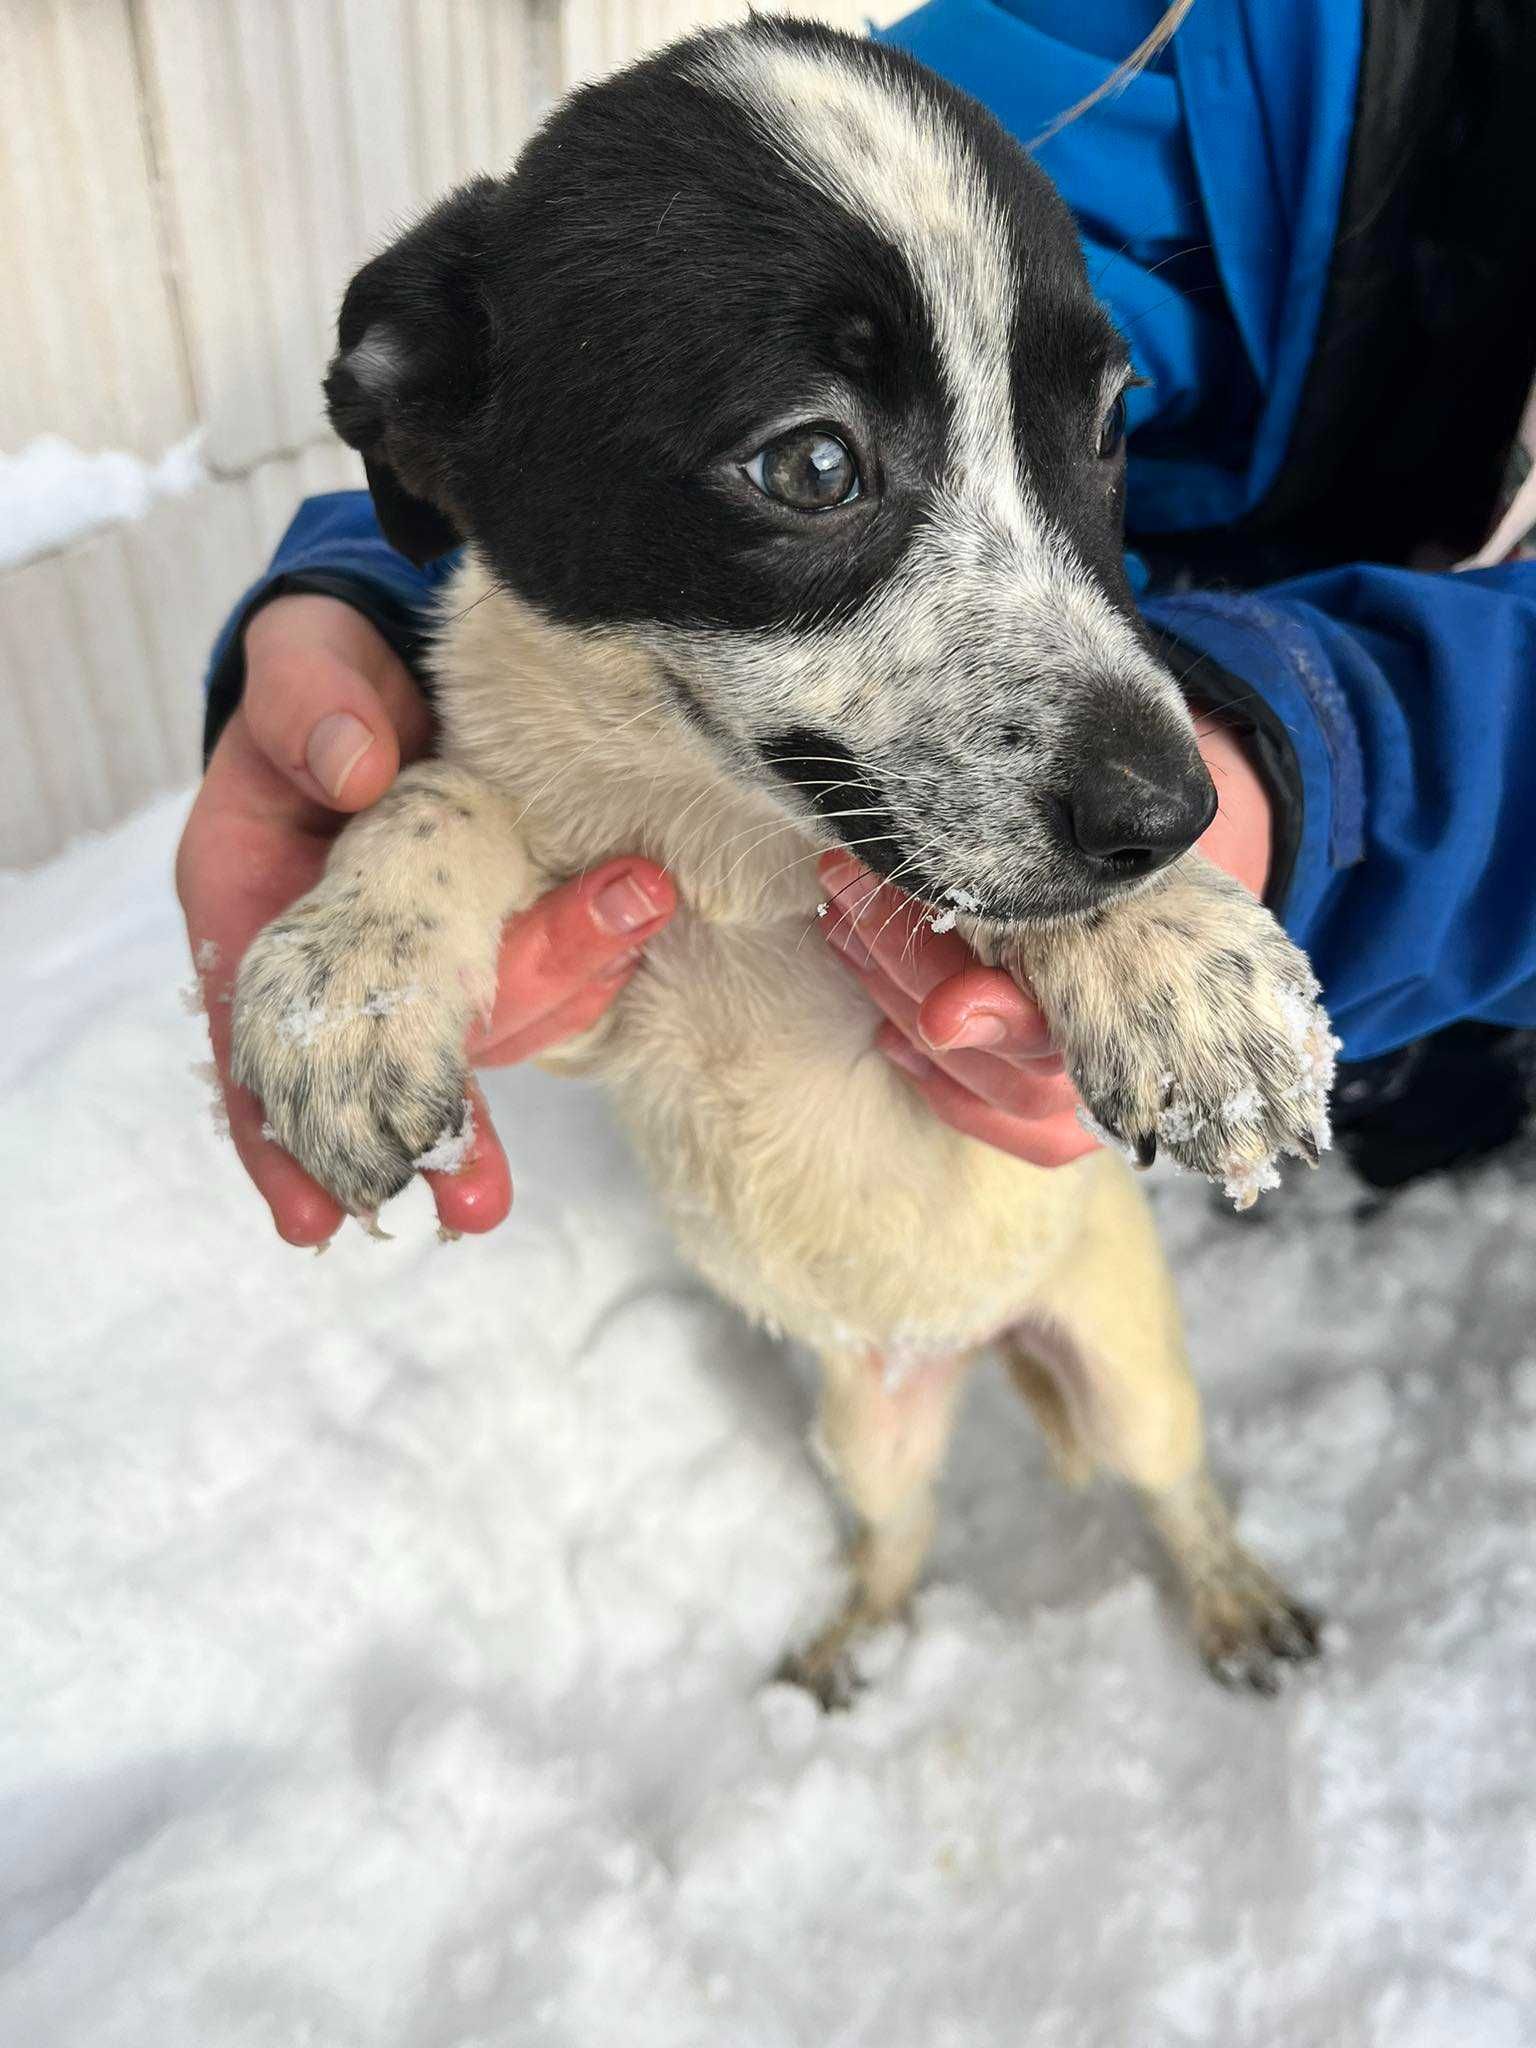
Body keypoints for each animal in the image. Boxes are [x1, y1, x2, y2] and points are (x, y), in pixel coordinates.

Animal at [234, 24, 1343, 1703]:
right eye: (812, 465)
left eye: (1107, 432)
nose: (1178, 815)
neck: (727, 847)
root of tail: (971, 1342)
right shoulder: (593, 976)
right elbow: (433, 799)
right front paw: (343, 986)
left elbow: (987, 880)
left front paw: (1177, 957)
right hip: (862, 1425)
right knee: (900, 1532)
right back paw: (847, 1659)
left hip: (1129, 1363)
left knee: (1176, 1488)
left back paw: (1233, 1605)